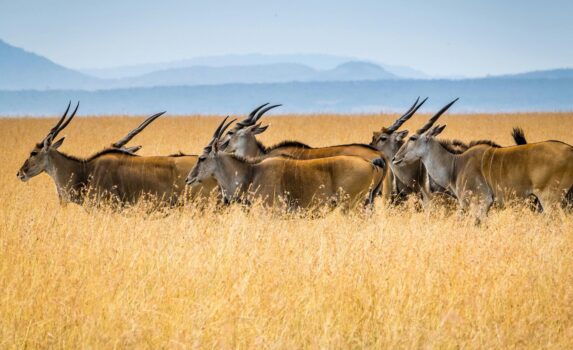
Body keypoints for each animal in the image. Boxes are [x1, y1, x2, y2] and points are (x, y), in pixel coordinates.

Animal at [394, 124, 573, 224]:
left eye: (413, 138)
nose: (395, 158)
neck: (455, 165)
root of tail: (570, 150)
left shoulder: (480, 202)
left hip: (550, 199)